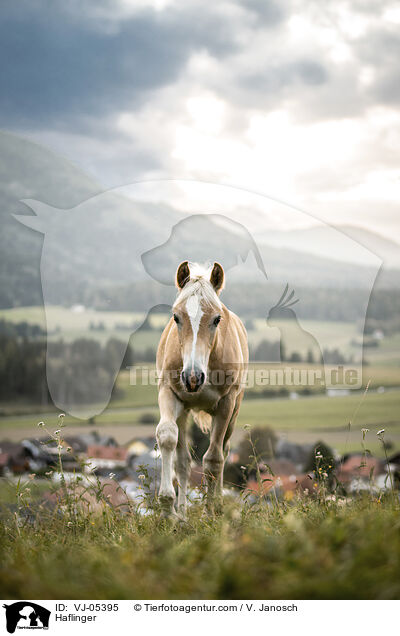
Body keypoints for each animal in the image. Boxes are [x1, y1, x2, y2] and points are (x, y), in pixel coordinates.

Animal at [155, 260, 247, 516]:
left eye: (217, 319)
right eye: (176, 317)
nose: (193, 378)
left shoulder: (226, 403)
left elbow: (213, 459)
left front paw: (212, 511)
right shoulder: (168, 392)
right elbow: (167, 436)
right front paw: (168, 509)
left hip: (234, 411)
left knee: (223, 452)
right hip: (184, 410)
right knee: (183, 462)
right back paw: (182, 514)